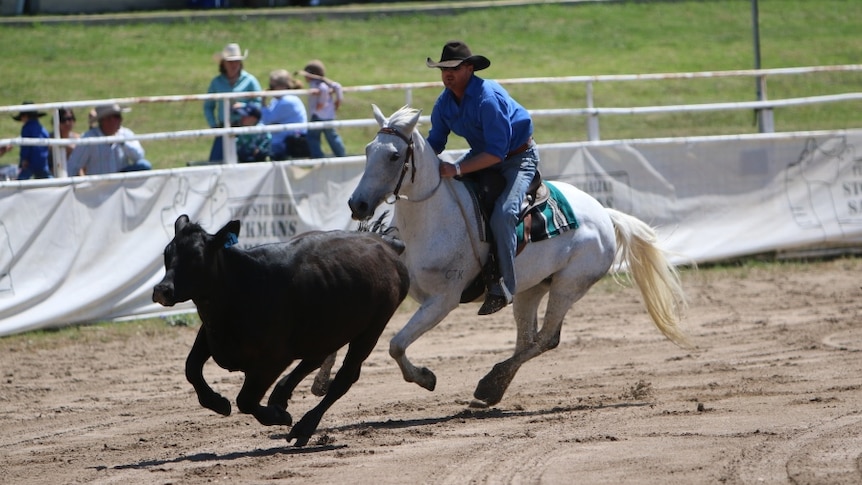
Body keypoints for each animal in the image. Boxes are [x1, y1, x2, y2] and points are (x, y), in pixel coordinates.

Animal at [348, 106, 692, 408]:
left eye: (394, 155)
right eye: (367, 150)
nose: (358, 204)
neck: (432, 217)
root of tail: (604, 214)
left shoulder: (442, 300)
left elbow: (396, 344)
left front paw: (425, 377)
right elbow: (392, 342)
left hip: (569, 285)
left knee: (546, 338)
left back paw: (489, 384)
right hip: (530, 289)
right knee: (527, 339)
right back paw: (494, 389)